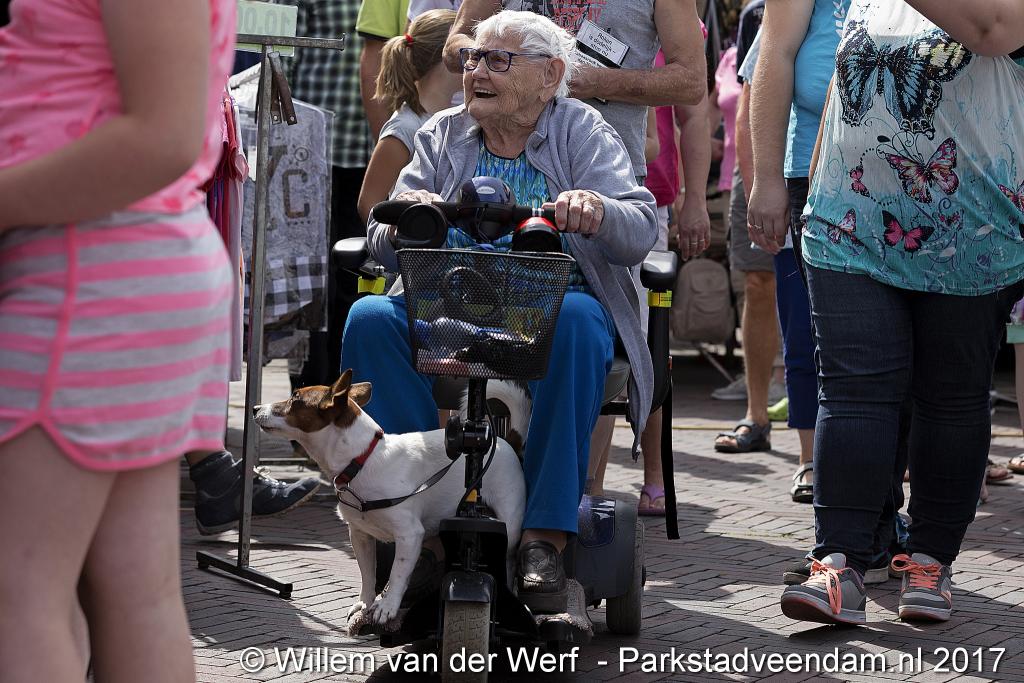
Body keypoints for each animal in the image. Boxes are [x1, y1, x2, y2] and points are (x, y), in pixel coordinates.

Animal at [253, 370, 527, 632]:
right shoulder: (360, 535)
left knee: (509, 560)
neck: (362, 460)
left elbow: (397, 573)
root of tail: (505, 441)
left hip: (510, 525)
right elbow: (367, 574)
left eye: (295, 398)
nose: (255, 408)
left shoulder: (409, 535)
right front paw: (365, 603)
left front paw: (388, 606)